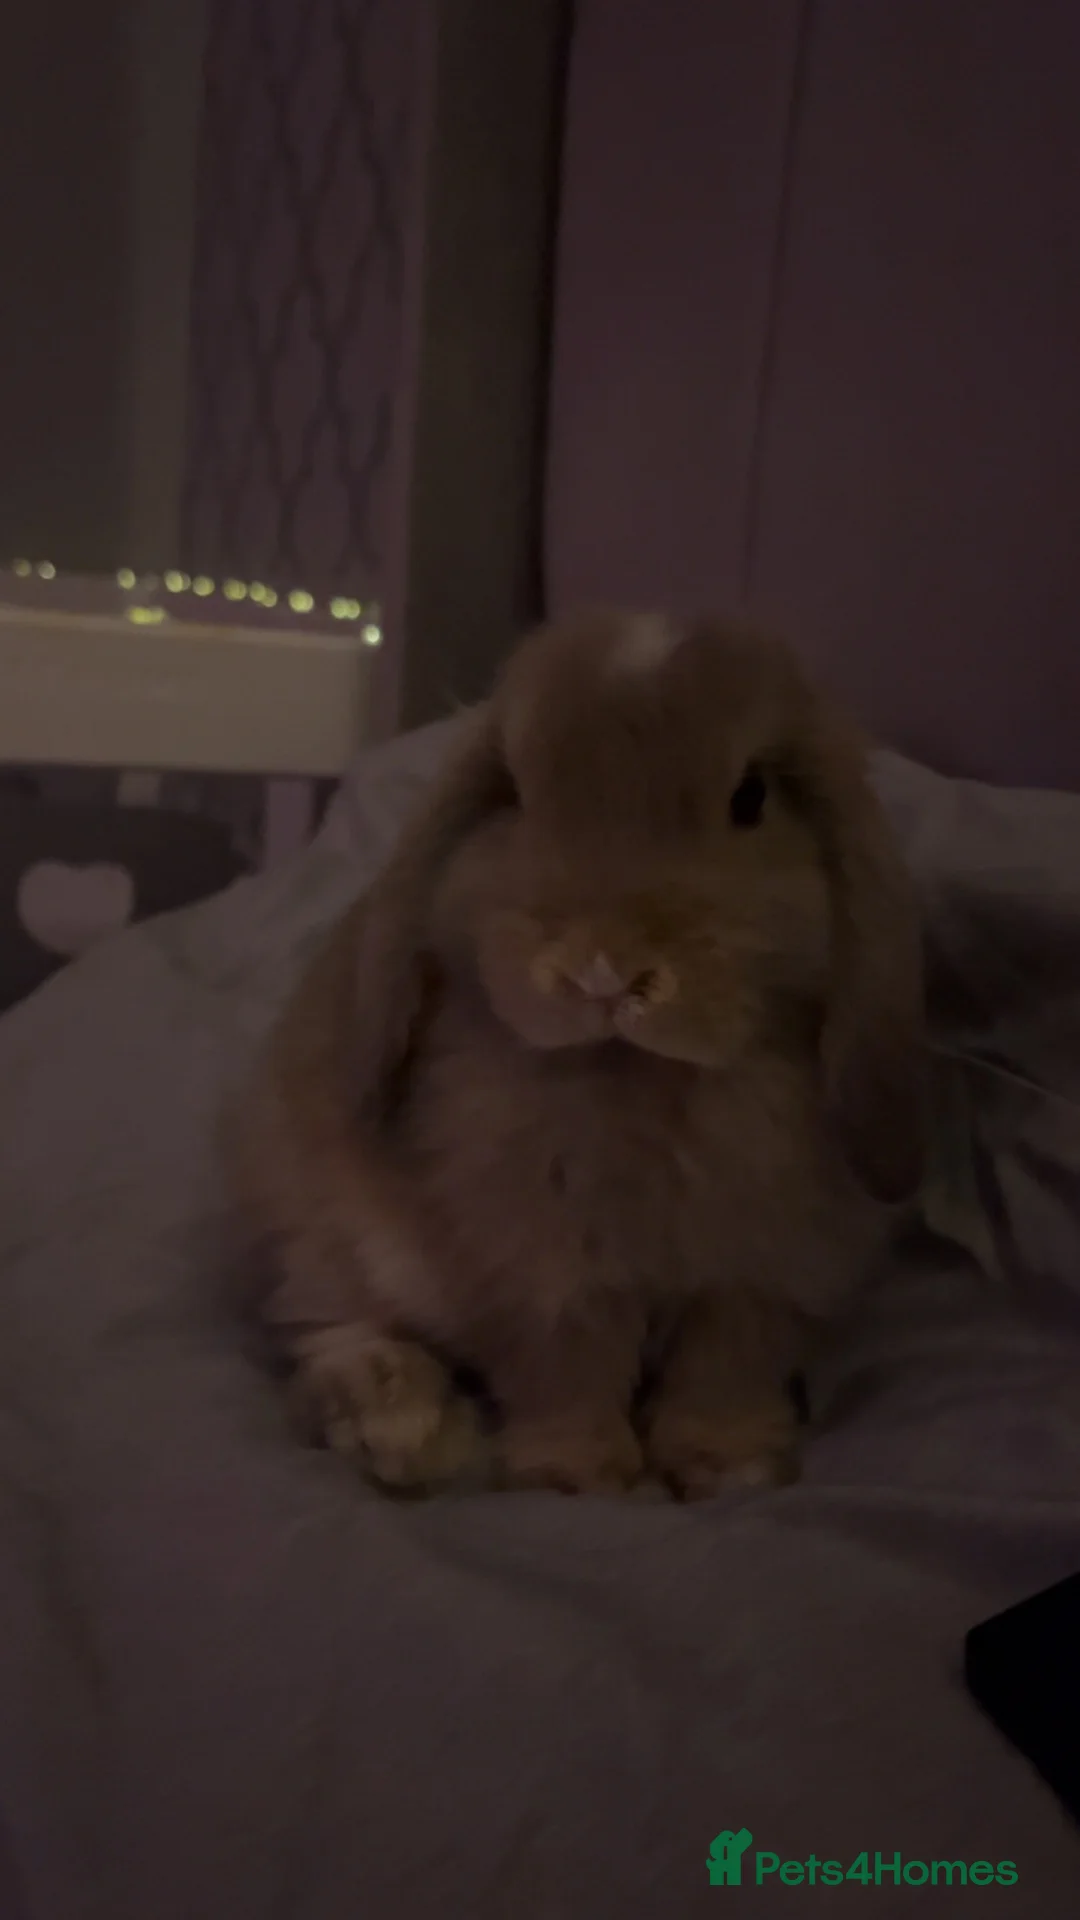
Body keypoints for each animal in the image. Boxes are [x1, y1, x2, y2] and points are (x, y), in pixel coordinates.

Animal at [228, 609, 925, 1499]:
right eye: (517, 796)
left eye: (752, 797)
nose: (605, 969)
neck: (645, 1077)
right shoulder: (546, 1268)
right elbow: (568, 1364)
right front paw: (581, 1477)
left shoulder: (761, 1270)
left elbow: (725, 1365)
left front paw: (730, 1466)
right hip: (320, 1221)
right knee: (327, 1325)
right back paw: (406, 1428)